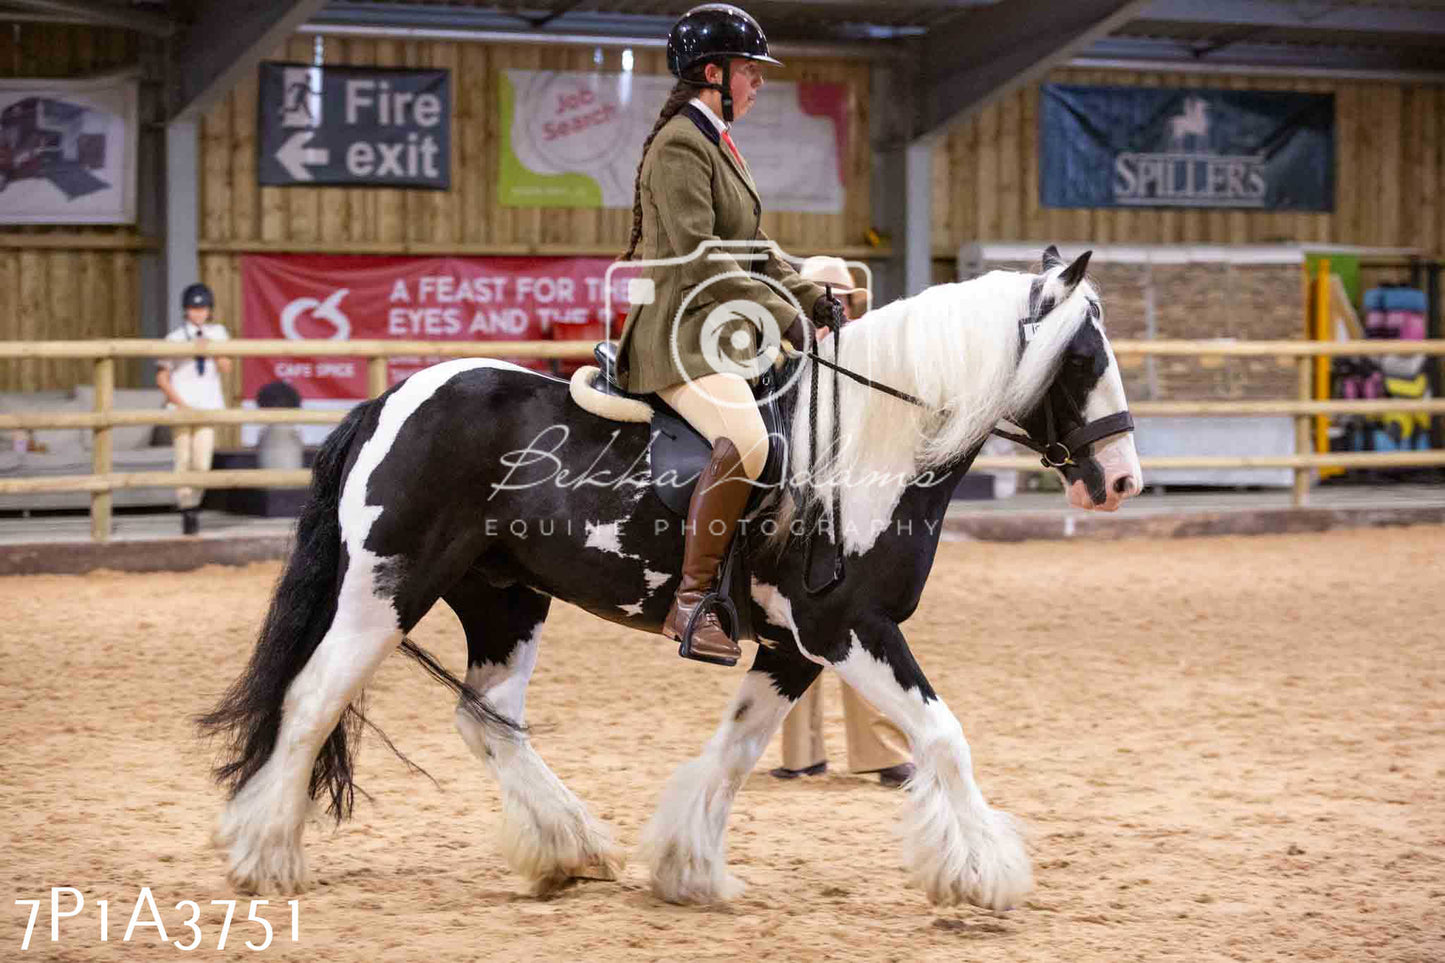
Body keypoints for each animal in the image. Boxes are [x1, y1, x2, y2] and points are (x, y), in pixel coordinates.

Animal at [197, 244, 1138, 902]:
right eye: (1082, 358)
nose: (1121, 480)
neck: (867, 446)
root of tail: (392, 400)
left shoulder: (793, 648)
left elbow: (735, 749)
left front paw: (690, 869)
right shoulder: (849, 630)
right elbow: (943, 737)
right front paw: (982, 872)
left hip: (504, 598)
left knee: (488, 720)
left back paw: (568, 849)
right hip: (386, 590)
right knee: (311, 699)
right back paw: (265, 856)